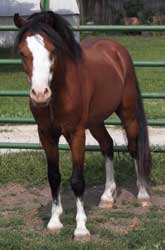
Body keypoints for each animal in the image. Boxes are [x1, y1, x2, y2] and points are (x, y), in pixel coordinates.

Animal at [13, 11, 151, 240]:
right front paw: (54, 221)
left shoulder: (76, 133)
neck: (59, 92)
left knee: (133, 147)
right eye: (23, 52)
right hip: (95, 122)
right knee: (107, 145)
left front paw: (81, 228)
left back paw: (142, 193)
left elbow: (77, 181)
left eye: (52, 50)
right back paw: (107, 196)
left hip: (128, 114)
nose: (40, 94)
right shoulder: (46, 135)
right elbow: (54, 177)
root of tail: (116, 50)